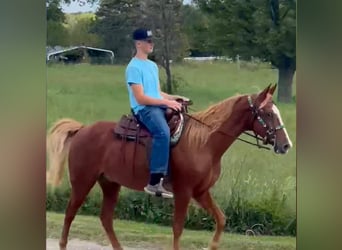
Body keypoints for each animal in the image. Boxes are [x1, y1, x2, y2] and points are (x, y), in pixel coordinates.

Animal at [45, 84, 292, 250]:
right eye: (267, 113)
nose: (286, 145)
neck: (203, 142)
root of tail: (82, 129)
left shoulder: (201, 192)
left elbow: (221, 219)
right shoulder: (183, 192)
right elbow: (178, 228)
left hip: (110, 184)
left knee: (106, 219)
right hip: (82, 181)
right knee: (70, 213)